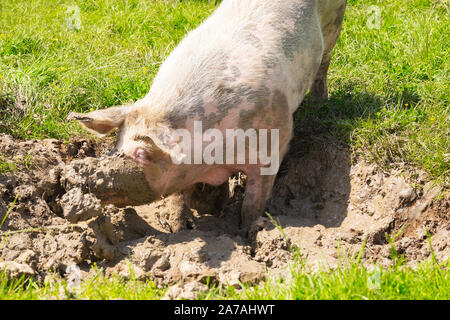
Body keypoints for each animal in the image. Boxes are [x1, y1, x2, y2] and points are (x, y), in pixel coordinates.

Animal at [67, 0, 348, 231]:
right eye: (116, 147)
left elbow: (253, 202)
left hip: (335, 22)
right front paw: (179, 226)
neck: (212, 159)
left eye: (142, 155)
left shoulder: (275, 142)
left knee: (324, 62)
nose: (84, 176)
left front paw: (248, 232)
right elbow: (178, 197)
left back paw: (321, 102)